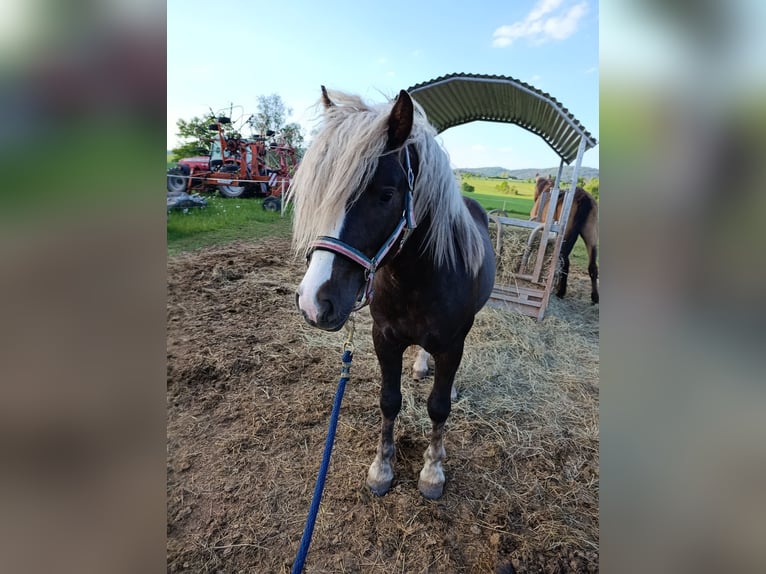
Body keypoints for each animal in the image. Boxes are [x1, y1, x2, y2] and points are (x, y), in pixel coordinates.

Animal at [287, 87, 496, 499]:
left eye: (385, 195)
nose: (313, 303)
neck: (416, 279)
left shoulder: (452, 345)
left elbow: (438, 407)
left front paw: (433, 471)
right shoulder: (384, 338)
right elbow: (389, 401)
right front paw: (382, 467)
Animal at [529, 176, 599, 304]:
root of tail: (583, 196)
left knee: (564, 261)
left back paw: (560, 291)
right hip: (591, 236)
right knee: (592, 266)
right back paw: (595, 297)